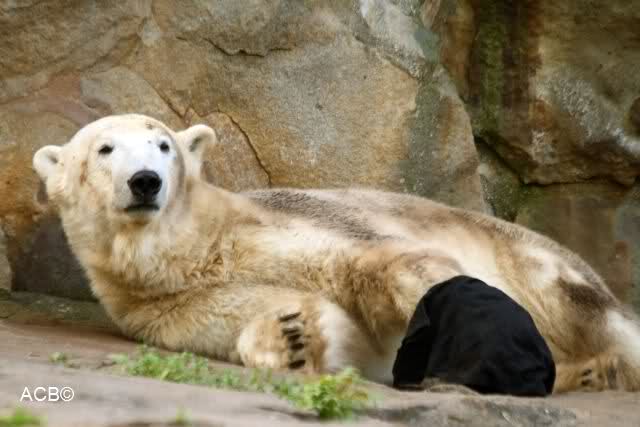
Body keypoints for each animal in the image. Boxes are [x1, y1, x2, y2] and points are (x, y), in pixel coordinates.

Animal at [32, 113, 640, 393]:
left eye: (163, 145)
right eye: (105, 149)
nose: (146, 181)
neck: (193, 249)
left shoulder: (286, 225)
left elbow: (373, 264)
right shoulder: (166, 308)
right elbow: (331, 335)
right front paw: (291, 336)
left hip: (533, 258)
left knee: (584, 308)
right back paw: (590, 373)